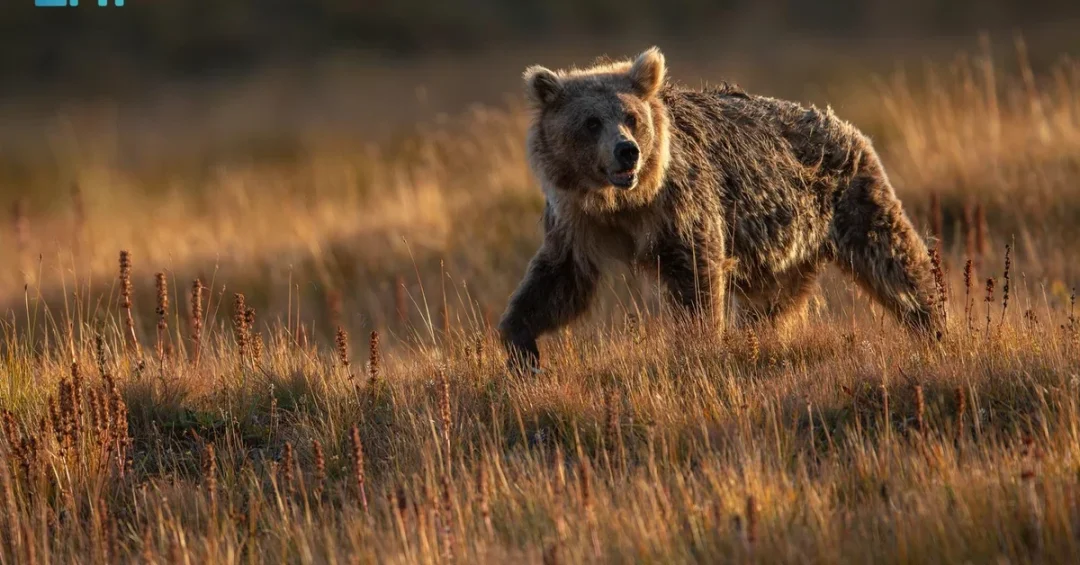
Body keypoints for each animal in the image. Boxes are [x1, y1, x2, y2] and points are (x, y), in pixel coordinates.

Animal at [498, 46, 944, 372]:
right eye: (591, 122)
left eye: (631, 116)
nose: (627, 151)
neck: (625, 204)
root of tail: (845, 125)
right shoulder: (576, 222)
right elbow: (559, 281)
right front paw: (521, 346)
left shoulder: (679, 208)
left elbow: (696, 276)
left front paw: (697, 346)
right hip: (780, 254)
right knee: (769, 306)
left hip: (852, 198)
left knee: (894, 260)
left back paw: (934, 323)